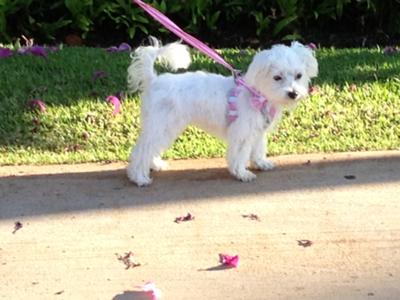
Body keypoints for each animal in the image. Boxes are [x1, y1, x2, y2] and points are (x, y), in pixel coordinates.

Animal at [126, 38, 318, 186]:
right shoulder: (242, 133)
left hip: (164, 128)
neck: (256, 94)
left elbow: (258, 149)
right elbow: (240, 155)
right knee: (141, 151)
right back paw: (139, 177)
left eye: (299, 76)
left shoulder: (257, 131)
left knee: (149, 147)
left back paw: (155, 164)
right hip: (161, 126)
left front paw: (261, 163)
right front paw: (241, 173)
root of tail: (153, 80)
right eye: (277, 77)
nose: (293, 93)